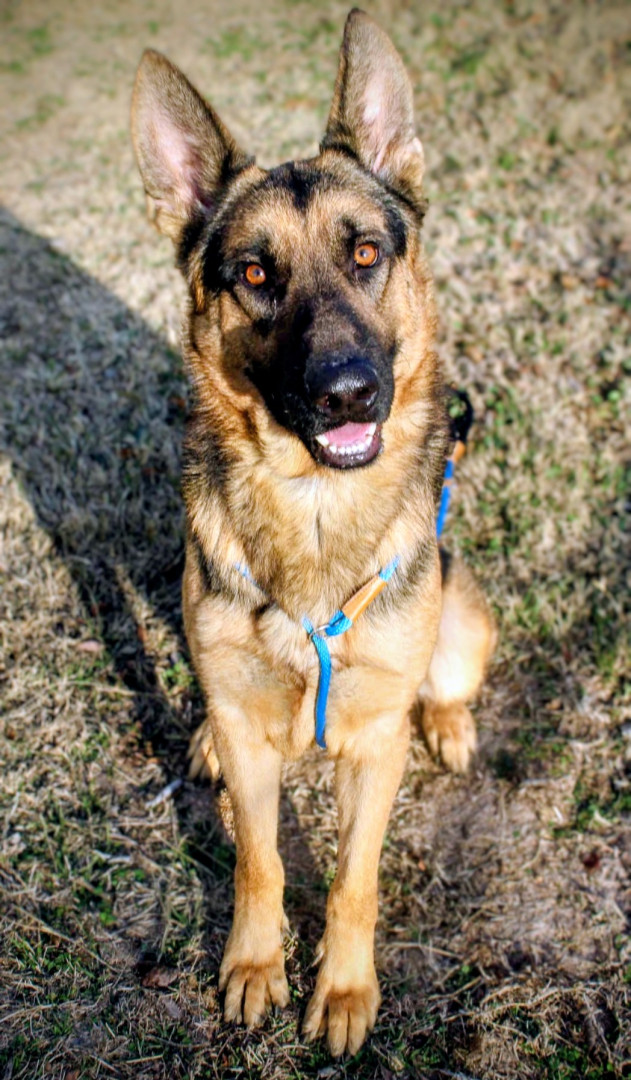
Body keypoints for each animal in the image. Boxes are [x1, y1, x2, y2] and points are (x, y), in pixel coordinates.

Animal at [131, 9, 495, 1057]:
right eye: (255, 274)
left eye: (366, 253)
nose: (347, 394)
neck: (313, 509)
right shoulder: (257, 755)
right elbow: (259, 861)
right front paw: (256, 966)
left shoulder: (371, 751)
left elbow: (352, 879)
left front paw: (340, 988)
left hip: (463, 622)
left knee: (444, 682)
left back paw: (447, 722)